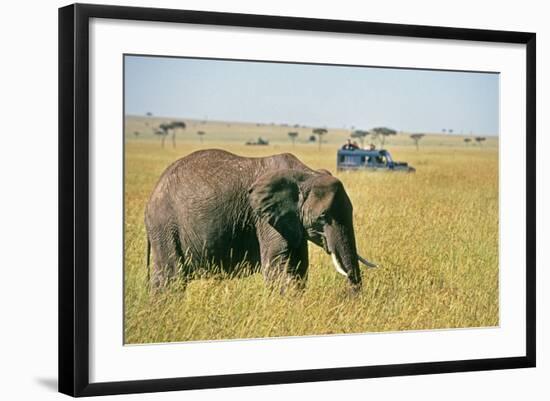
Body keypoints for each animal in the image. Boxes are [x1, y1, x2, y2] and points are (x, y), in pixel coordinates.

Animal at [143, 148, 376, 292]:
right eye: (323, 217)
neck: (307, 174)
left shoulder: (291, 219)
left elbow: (299, 265)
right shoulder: (264, 217)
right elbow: (278, 264)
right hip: (165, 224)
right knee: (171, 278)